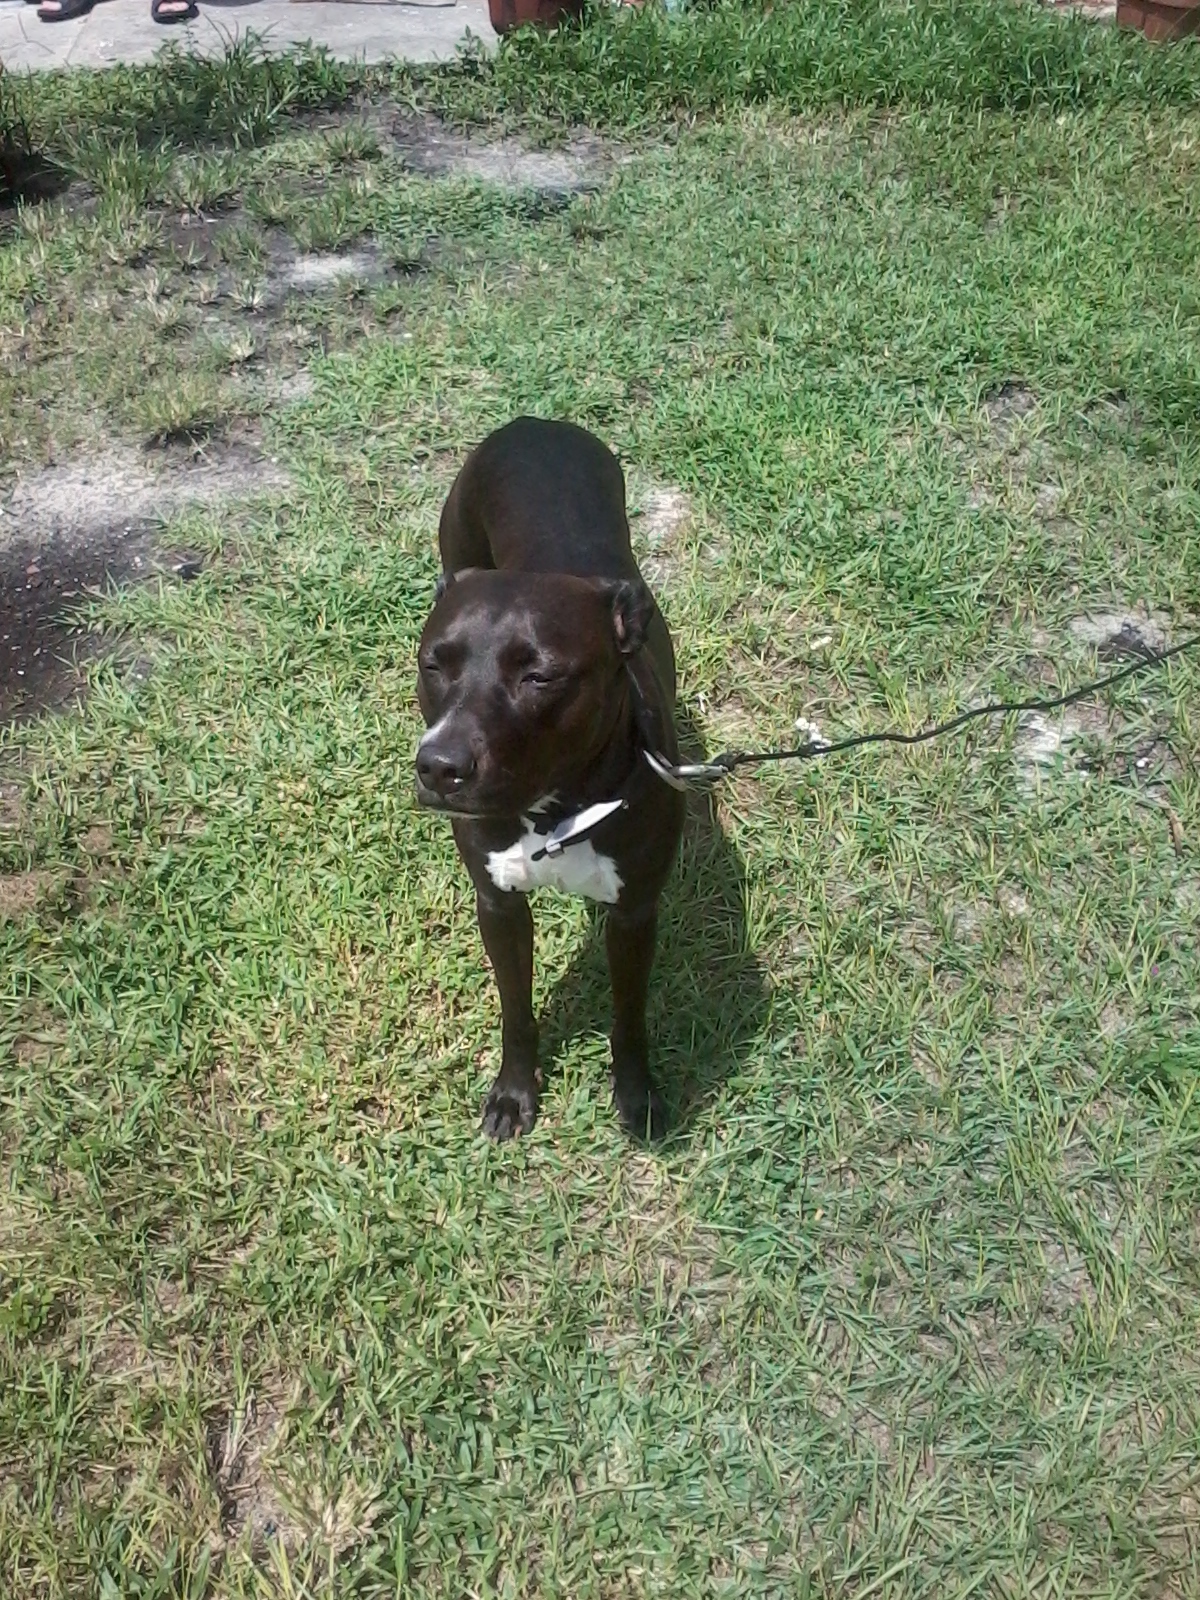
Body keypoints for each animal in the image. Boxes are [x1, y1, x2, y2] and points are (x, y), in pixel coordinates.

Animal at [415, 417, 686, 1140]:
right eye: (434, 664)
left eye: (538, 676)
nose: (438, 766)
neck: (553, 808)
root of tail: (531, 424)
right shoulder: (498, 905)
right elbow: (515, 1010)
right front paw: (513, 1092)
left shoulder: (633, 913)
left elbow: (629, 1016)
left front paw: (637, 1092)